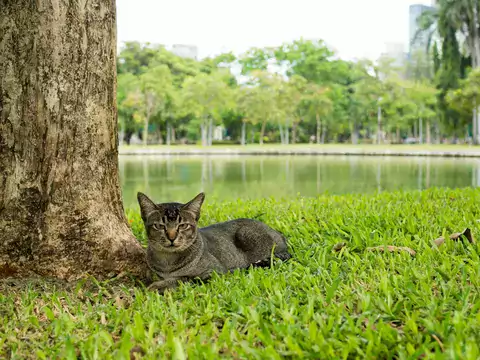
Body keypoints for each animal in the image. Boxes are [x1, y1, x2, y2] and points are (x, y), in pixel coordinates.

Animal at [137, 191, 290, 292]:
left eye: (183, 225)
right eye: (159, 226)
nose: (171, 237)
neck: (167, 262)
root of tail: (279, 233)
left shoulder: (214, 272)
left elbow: (185, 278)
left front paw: (159, 285)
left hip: (245, 233)